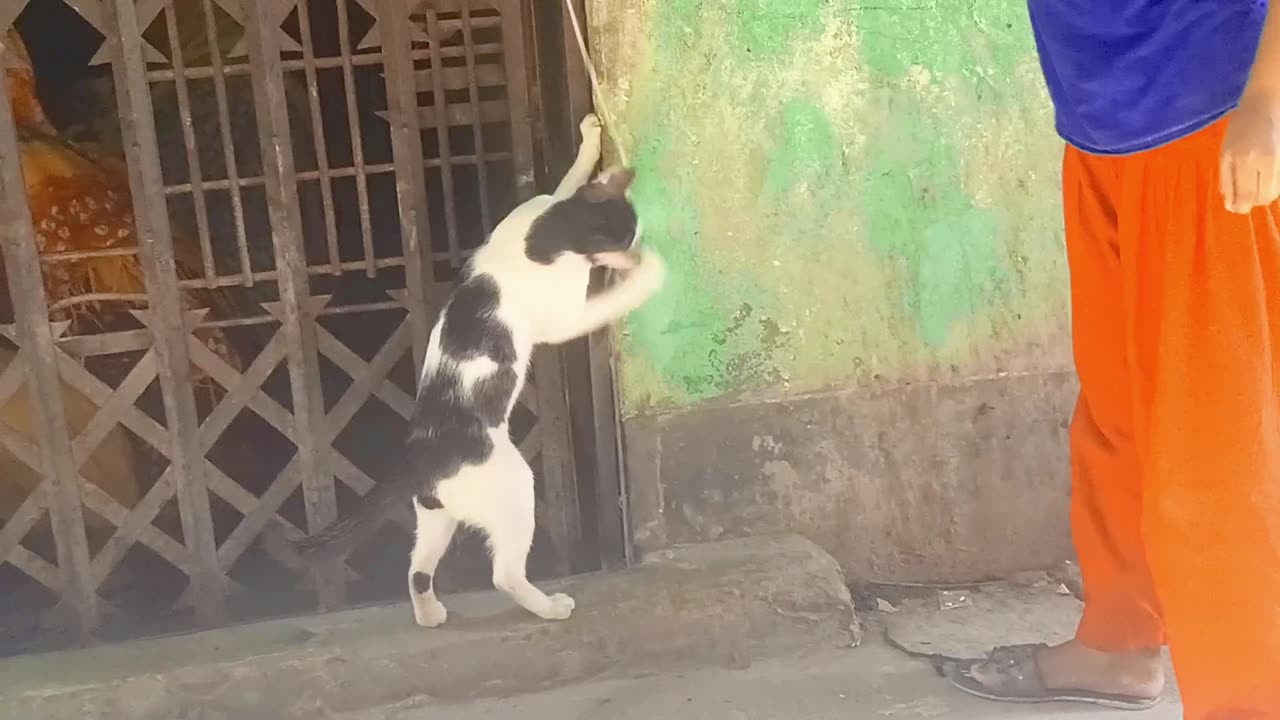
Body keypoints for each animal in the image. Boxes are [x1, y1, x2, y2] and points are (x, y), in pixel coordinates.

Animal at [282, 112, 660, 622]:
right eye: (631, 239)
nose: (636, 251)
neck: (547, 233)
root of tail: (420, 454)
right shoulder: (564, 320)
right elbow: (607, 302)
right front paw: (649, 273)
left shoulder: (540, 206)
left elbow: (568, 180)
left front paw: (590, 138)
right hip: (516, 486)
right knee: (504, 575)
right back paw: (550, 607)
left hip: (436, 517)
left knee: (416, 571)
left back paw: (430, 615)